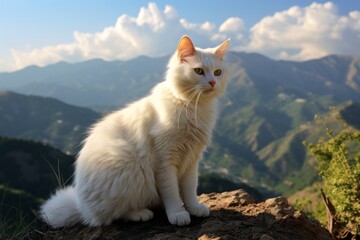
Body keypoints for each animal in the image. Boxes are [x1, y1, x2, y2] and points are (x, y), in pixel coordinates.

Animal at [40, 35, 231, 227]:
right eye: (198, 71)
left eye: (217, 72)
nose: (213, 82)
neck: (194, 107)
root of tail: (81, 207)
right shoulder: (165, 162)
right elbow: (172, 193)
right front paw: (178, 213)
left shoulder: (191, 161)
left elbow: (190, 189)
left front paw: (194, 208)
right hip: (127, 167)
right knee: (112, 215)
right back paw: (141, 213)